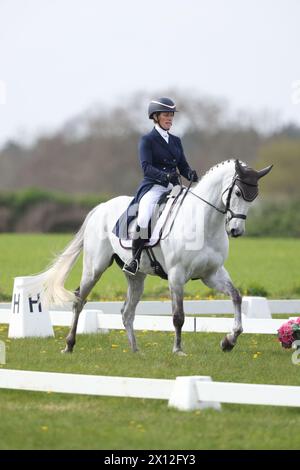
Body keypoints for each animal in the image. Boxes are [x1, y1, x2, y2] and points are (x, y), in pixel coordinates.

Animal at [34, 158, 272, 352]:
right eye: (238, 193)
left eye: (254, 197)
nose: (236, 231)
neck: (204, 223)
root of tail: (101, 207)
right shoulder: (176, 275)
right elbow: (178, 316)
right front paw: (178, 350)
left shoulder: (212, 274)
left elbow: (236, 297)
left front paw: (229, 341)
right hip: (94, 268)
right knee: (79, 301)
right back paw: (69, 345)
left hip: (136, 275)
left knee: (127, 312)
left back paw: (136, 351)